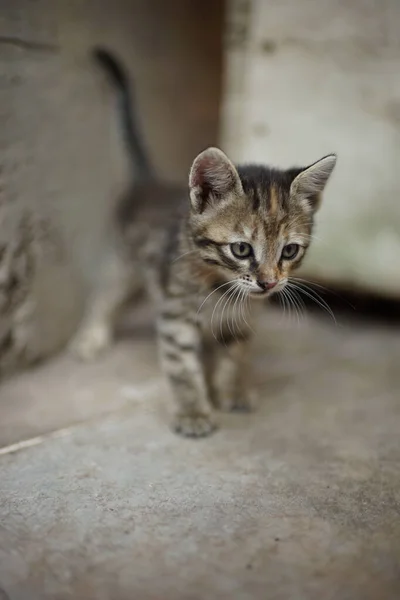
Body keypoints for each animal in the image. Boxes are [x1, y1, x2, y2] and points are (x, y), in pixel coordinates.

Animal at [70, 48, 336, 436]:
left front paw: (232, 389)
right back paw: (91, 337)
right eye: (241, 249)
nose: (269, 283)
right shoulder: (175, 315)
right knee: (103, 296)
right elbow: (182, 367)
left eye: (289, 251)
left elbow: (235, 355)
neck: (222, 288)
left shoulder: (241, 320)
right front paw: (193, 411)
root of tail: (148, 182)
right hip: (121, 262)